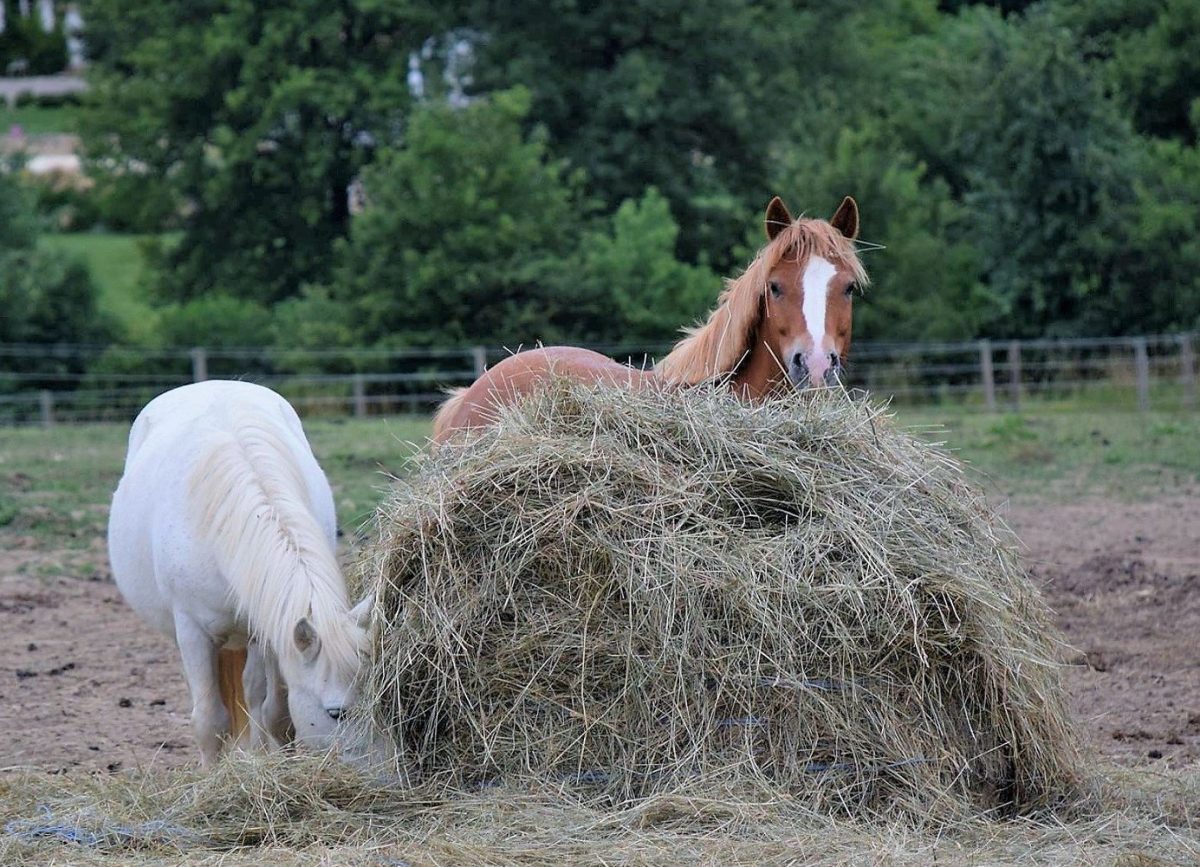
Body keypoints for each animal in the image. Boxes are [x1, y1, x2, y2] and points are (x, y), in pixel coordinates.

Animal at [107, 380, 377, 766]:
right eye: (336, 713)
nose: (376, 771)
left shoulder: (265, 627)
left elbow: (267, 705)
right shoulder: (192, 631)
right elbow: (209, 718)